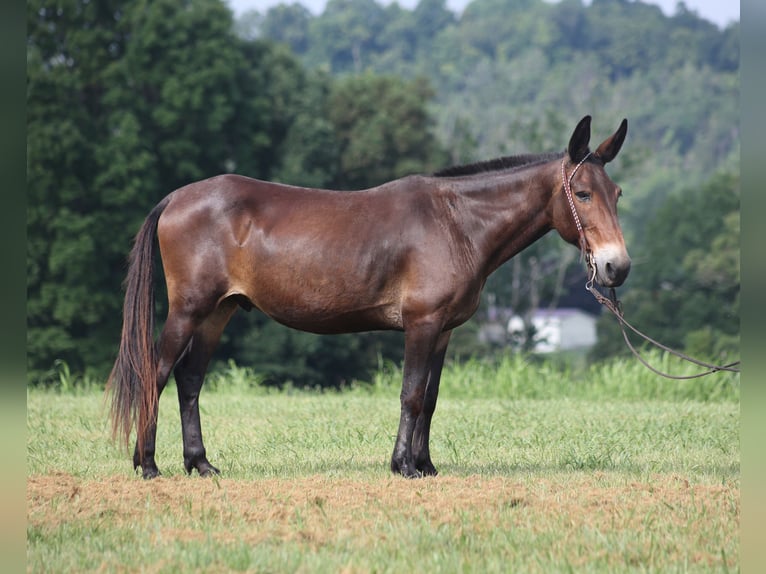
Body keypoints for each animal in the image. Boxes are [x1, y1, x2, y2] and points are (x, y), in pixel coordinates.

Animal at [108, 115, 630, 479]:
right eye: (583, 193)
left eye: (618, 193)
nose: (616, 267)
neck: (457, 222)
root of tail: (176, 198)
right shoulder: (421, 324)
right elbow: (410, 395)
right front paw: (404, 466)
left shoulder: (442, 332)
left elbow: (430, 398)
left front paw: (426, 464)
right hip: (190, 309)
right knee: (157, 373)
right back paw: (148, 464)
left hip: (219, 311)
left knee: (190, 380)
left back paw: (200, 463)